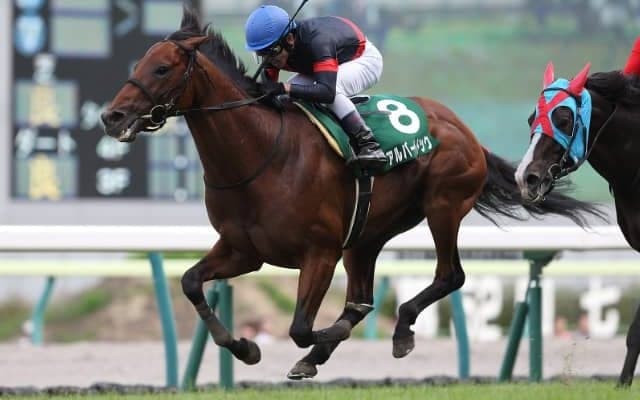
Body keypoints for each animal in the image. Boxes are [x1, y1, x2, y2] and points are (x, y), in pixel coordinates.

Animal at [101, 7, 601, 380]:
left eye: (161, 68)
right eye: (137, 64)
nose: (111, 116)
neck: (260, 154)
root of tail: (466, 131)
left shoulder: (318, 252)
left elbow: (302, 328)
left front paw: (318, 341)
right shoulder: (244, 249)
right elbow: (190, 283)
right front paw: (244, 347)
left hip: (442, 206)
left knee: (449, 276)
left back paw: (400, 330)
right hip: (365, 236)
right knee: (363, 297)